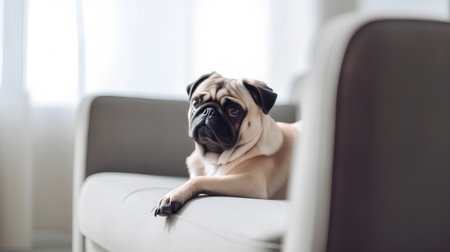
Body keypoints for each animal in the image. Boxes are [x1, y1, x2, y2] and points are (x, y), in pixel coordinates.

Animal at [155, 72, 298, 217]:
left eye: (234, 111)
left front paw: (174, 195)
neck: (213, 161)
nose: (209, 111)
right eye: (195, 103)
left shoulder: (250, 183)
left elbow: (199, 180)